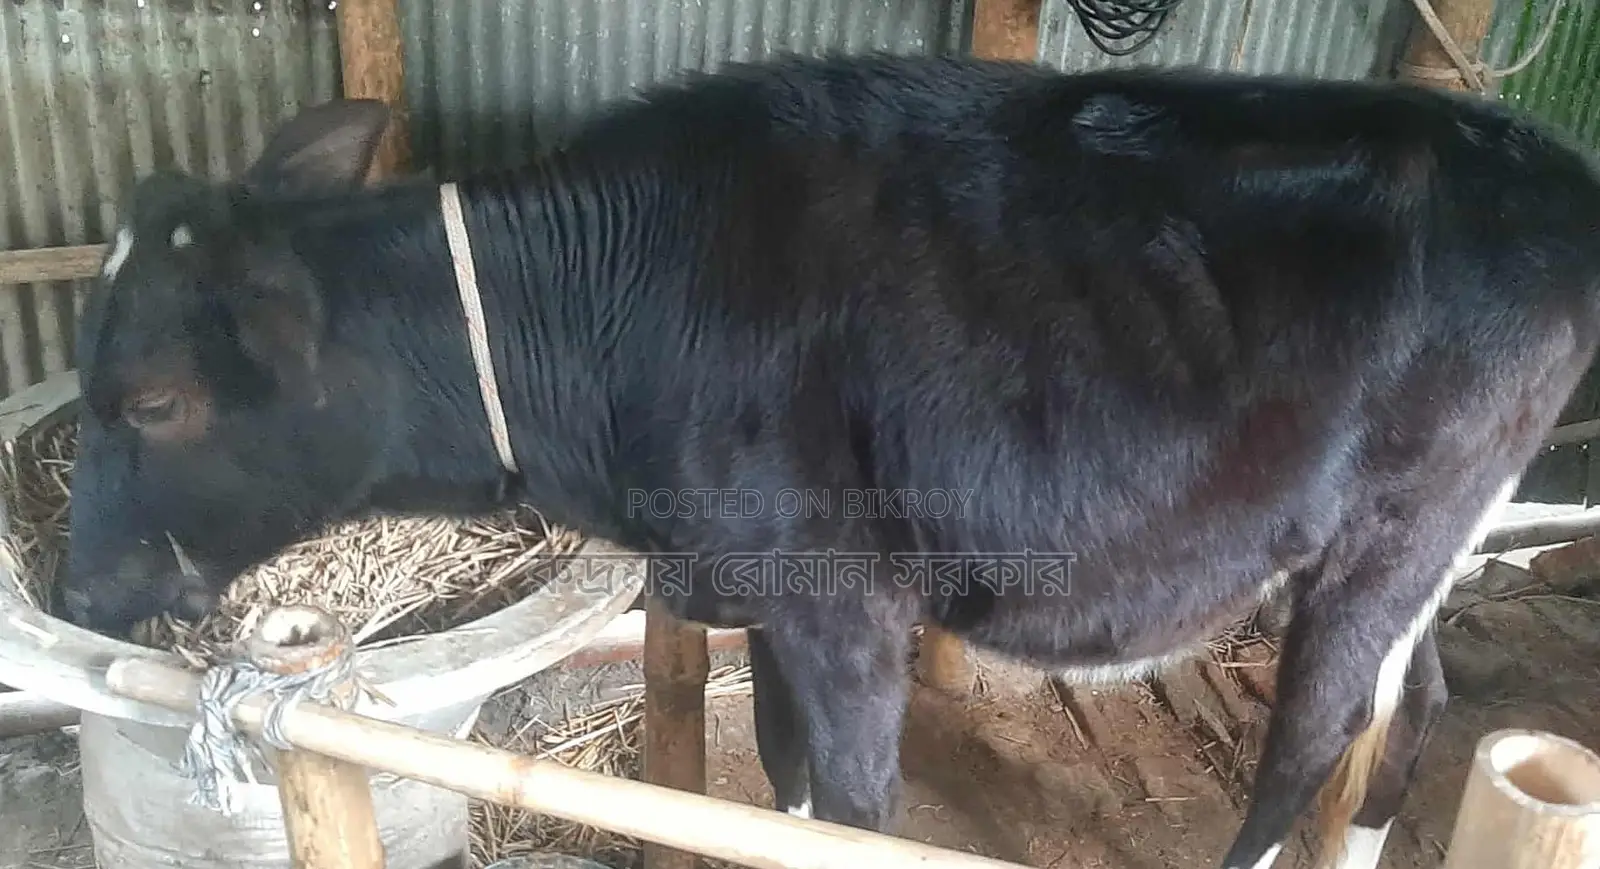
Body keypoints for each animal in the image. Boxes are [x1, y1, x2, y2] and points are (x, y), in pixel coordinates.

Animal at [56, 52, 1600, 869]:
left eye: (153, 400)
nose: (72, 592)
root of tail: (1530, 154)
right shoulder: (771, 602)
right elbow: (787, 790)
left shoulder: (844, 600)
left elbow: (856, 812)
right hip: (1403, 549)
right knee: (1406, 714)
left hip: (1392, 533)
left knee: (1314, 737)